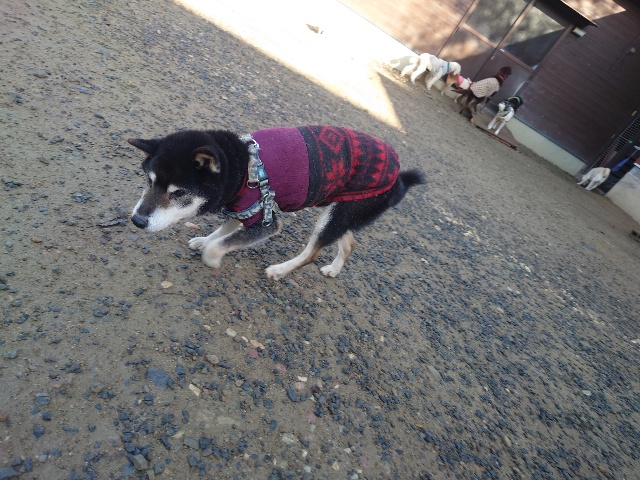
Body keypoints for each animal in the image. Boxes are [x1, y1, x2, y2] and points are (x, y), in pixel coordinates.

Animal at [128, 126, 424, 280]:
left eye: (178, 193)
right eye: (149, 181)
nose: (137, 220)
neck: (240, 167)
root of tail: (399, 177)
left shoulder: (265, 221)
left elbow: (223, 243)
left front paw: (211, 257)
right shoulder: (239, 206)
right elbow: (224, 231)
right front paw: (204, 239)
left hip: (338, 214)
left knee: (312, 253)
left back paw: (280, 270)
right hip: (343, 210)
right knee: (349, 242)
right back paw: (334, 268)